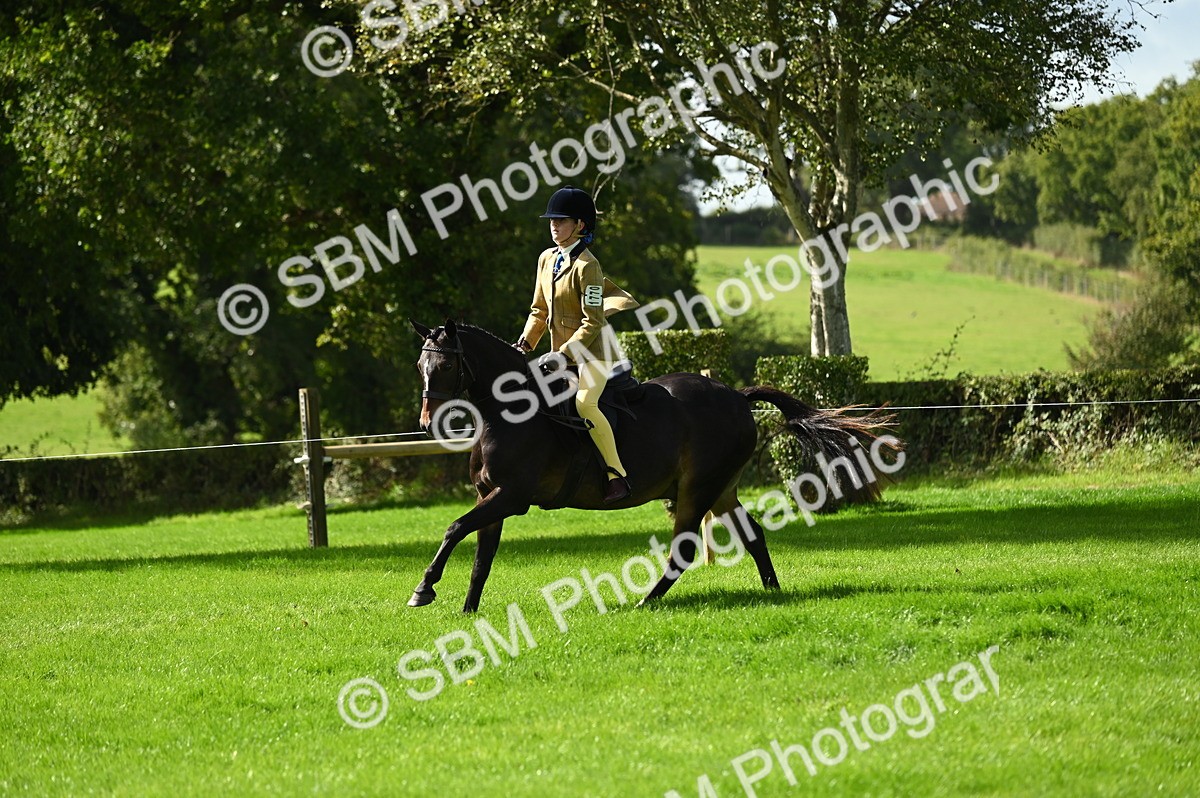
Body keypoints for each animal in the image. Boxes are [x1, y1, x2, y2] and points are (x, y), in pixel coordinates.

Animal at [408, 319, 898, 612]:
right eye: (420, 364)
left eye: (446, 364)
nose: (428, 421)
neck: (511, 413)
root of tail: (737, 396)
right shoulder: (490, 496)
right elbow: (481, 557)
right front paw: (468, 610)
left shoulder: (512, 497)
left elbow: (454, 527)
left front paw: (423, 589)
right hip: (721, 490)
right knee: (753, 534)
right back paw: (772, 590)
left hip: (696, 490)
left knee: (684, 549)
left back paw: (647, 601)